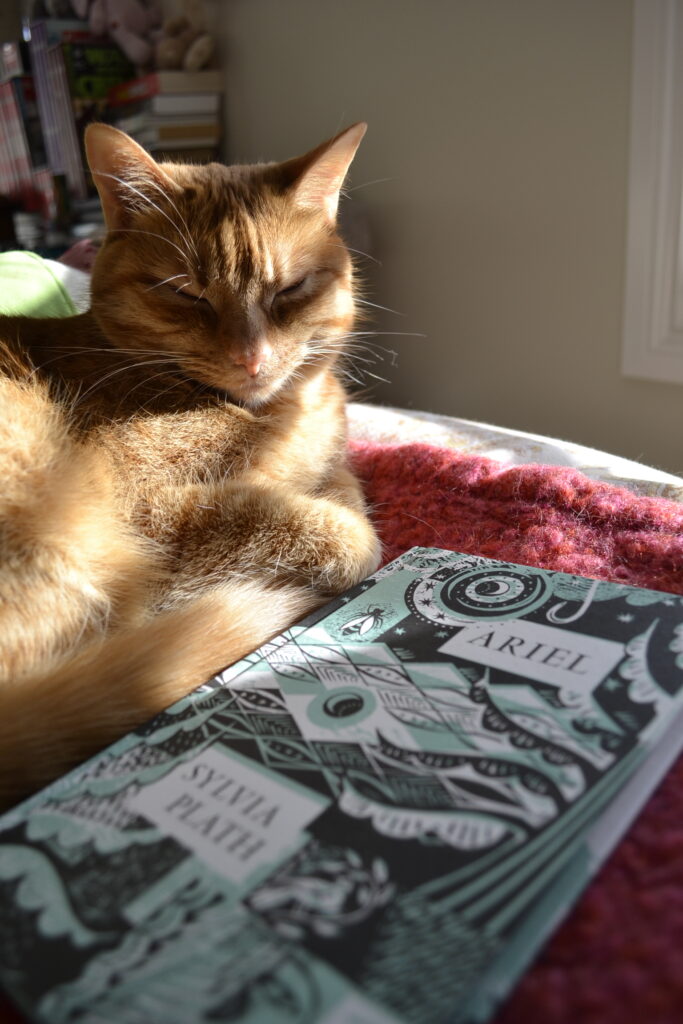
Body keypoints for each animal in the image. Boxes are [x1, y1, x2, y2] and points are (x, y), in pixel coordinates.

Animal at [0, 121, 378, 806]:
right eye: (185, 293)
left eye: (290, 289)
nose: (252, 358)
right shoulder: (147, 512)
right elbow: (327, 525)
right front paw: (348, 540)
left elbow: (343, 483)